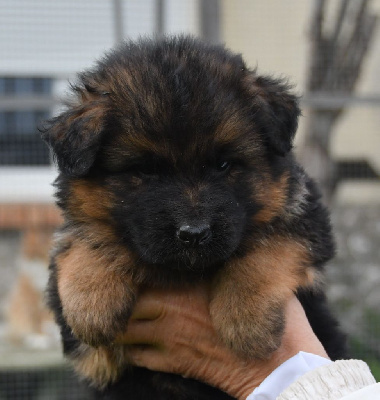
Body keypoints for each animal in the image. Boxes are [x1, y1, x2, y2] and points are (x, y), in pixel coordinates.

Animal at [42, 36, 348, 398]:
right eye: (145, 170)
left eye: (223, 164)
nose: (193, 234)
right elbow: (83, 241)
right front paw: (91, 306)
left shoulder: (305, 213)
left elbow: (270, 246)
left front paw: (246, 319)